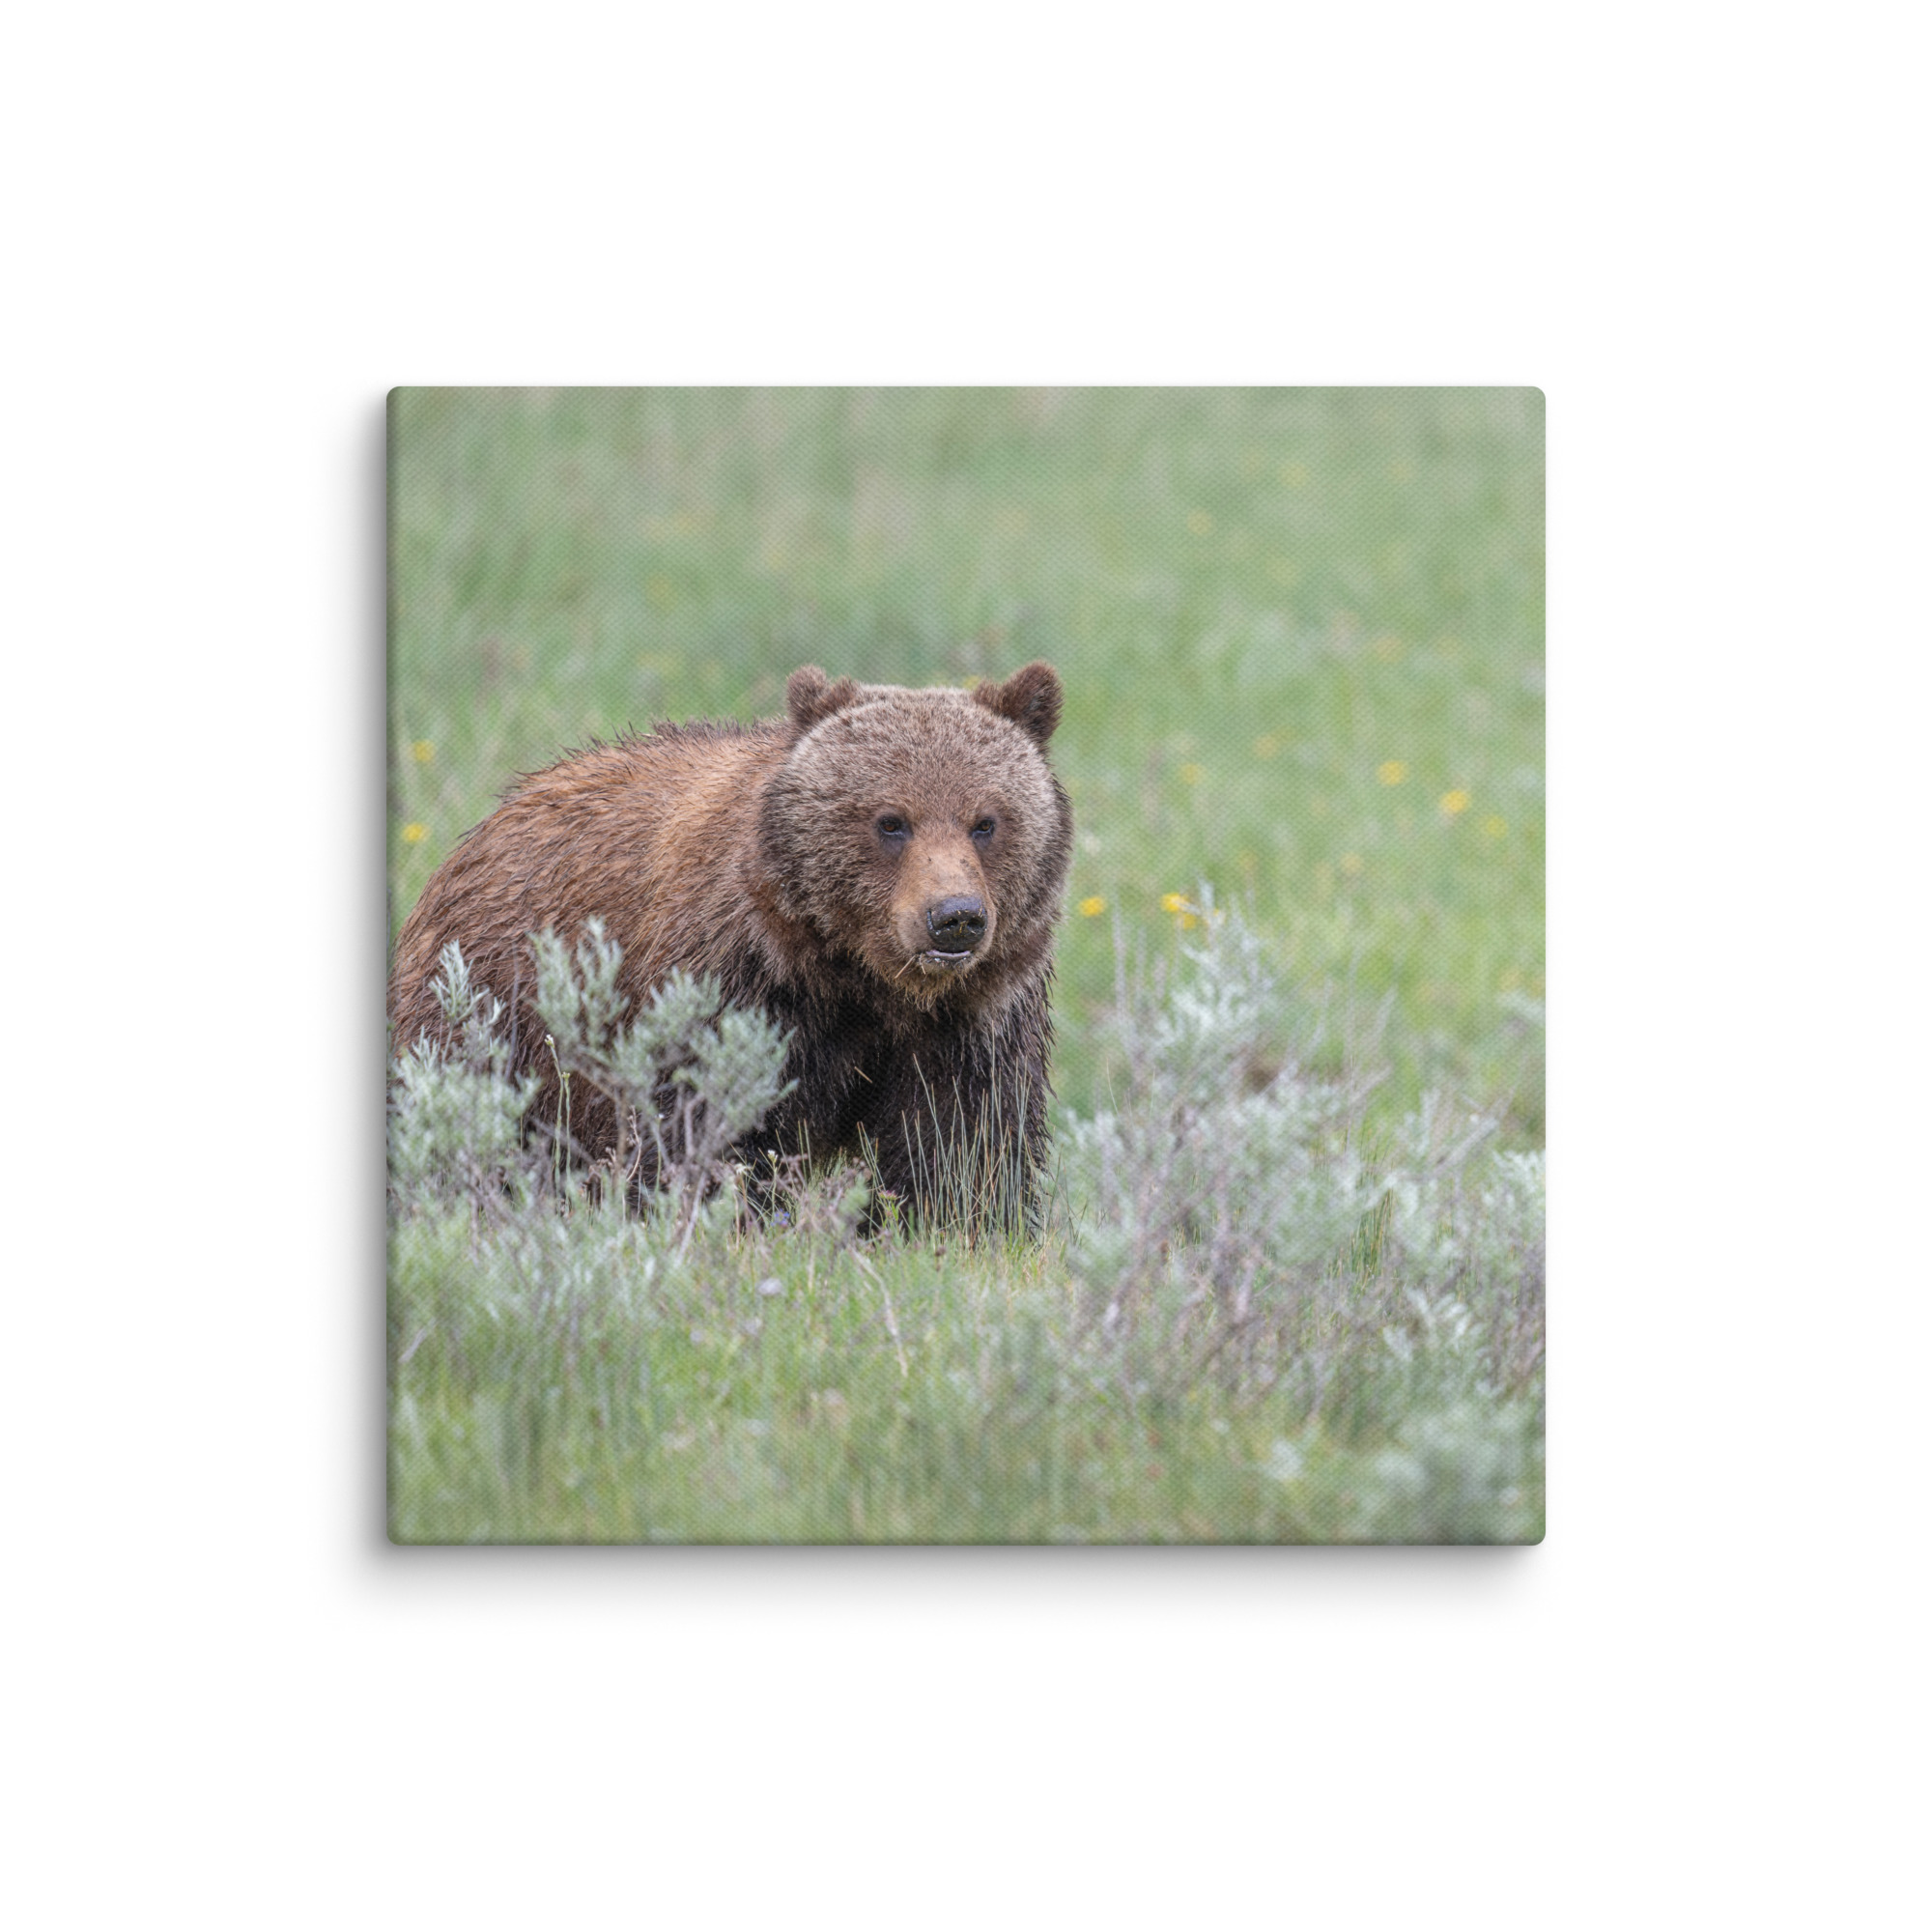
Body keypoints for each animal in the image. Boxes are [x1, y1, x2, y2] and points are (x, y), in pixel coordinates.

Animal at [388, 661, 1072, 1228]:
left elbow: (963, 1145)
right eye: (891, 821)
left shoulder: (972, 1018)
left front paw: (954, 1228)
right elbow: (702, 1125)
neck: (861, 979)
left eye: (986, 821)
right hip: (493, 1010)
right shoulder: (735, 985)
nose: (954, 918)